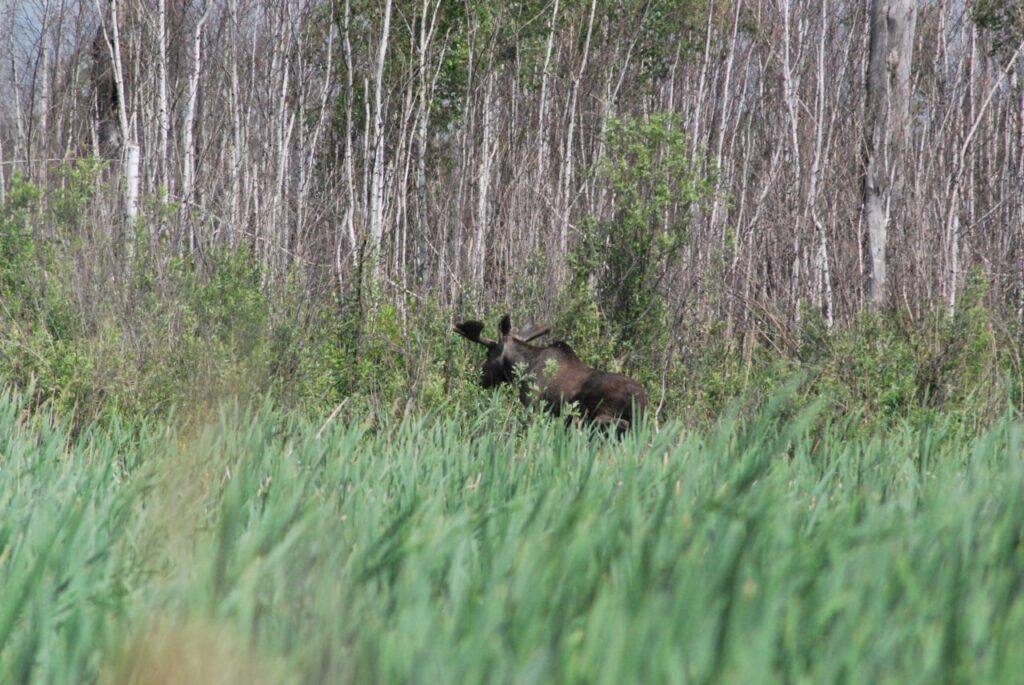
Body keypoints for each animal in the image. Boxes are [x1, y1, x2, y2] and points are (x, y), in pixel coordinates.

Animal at [452, 313, 643, 430]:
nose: (474, 375)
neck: (526, 367)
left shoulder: (533, 406)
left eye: (488, 353)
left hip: (605, 408)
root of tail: (642, 400)